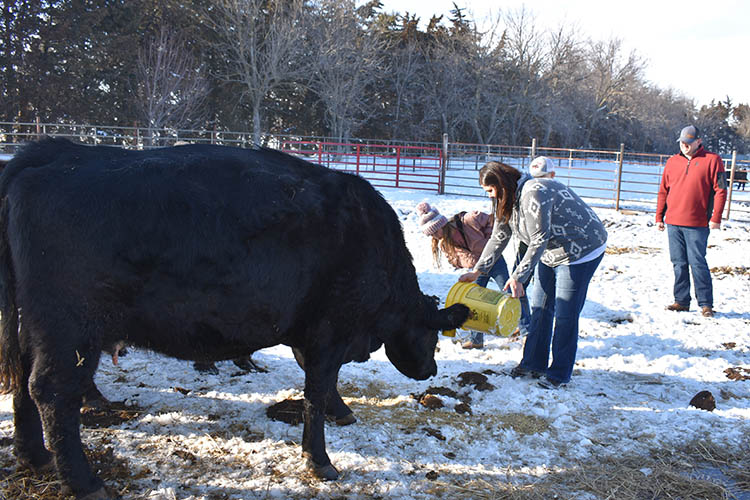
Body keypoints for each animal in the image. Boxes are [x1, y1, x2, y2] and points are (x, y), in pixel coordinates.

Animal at [0, 138, 470, 500]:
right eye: (435, 338)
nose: (431, 370)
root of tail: (57, 152)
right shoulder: (328, 331)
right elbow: (316, 391)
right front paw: (319, 460)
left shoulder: (306, 331)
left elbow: (319, 383)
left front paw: (340, 413)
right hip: (71, 328)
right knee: (52, 391)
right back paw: (83, 481)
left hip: (32, 324)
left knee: (22, 380)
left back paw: (35, 456)